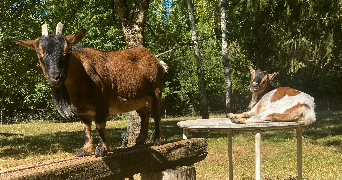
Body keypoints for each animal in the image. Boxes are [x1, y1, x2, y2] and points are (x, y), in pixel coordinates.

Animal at [13, 22, 167, 157]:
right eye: (39, 53)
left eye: (68, 50)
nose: (55, 76)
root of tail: (157, 61)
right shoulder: (81, 110)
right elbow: (86, 127)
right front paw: (85, 150)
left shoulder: (103, 105)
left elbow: (99, 125)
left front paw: (102, 148)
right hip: (137, 99)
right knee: (145, 113)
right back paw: (139, 140)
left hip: (155, 91)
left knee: (156, 114)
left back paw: (157, 140)